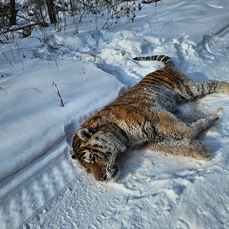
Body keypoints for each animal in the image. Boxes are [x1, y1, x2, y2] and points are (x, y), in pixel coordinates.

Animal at [72, 54, 229, 182]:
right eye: (87, 169)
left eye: (92, 158)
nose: (101, 179)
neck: (121, 137)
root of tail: (164, 68)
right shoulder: (148, 141)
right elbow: (175, 146)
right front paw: (202, 150)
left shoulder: (156, 113)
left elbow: (185, 131)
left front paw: (207, 120)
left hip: (187, 89)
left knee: (211, 83)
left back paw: (226, 88)